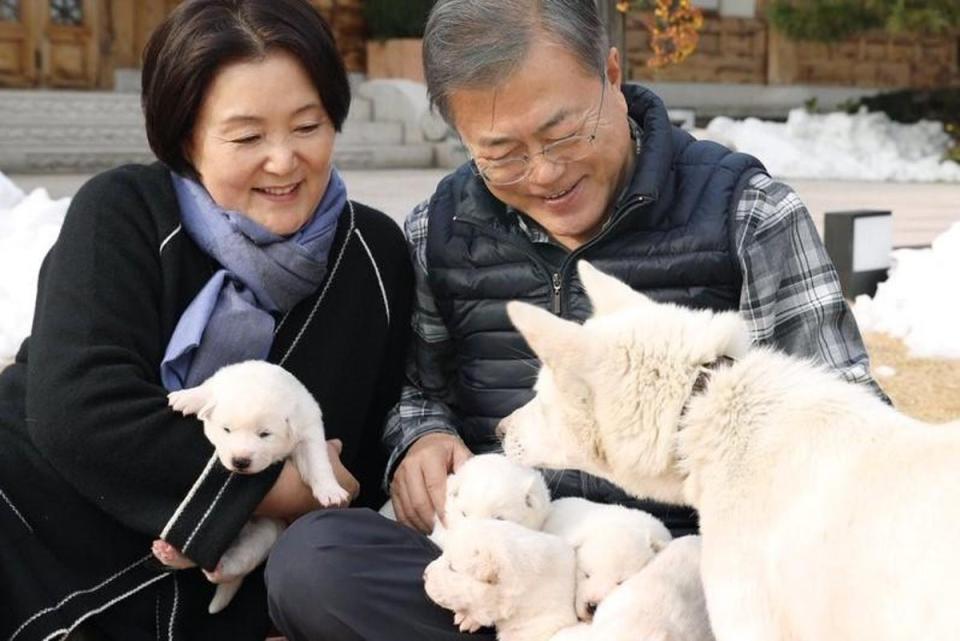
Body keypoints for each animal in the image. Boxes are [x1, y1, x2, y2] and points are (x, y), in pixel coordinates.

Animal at [161, 362, 348, 612]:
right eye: (226, 429)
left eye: (265, 434)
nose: (240, 461)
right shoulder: (221, 379)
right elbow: (208, 390)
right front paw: (187, 397)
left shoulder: (308, 431)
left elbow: (317, 461)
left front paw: (330, 490)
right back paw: (170, 553)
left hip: (266, 532)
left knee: (238, 561)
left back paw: (210, 565)